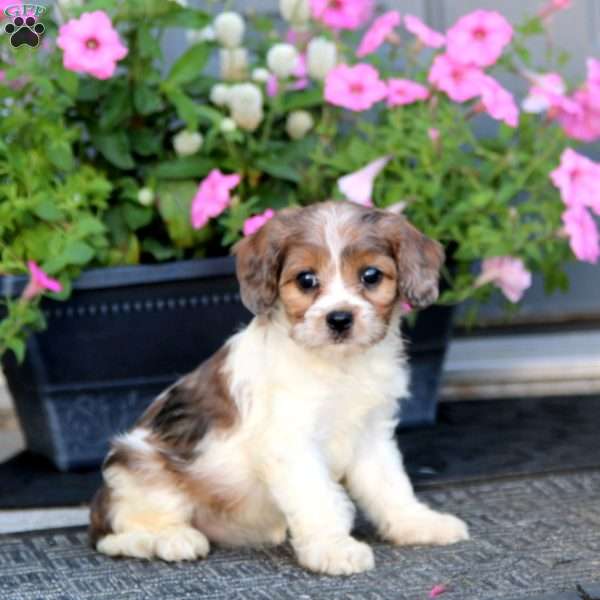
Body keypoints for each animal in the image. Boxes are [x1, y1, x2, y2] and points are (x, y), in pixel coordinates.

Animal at [90, 202, 468, 576]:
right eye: (306, 279)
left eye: (371, 276)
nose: (339, 319)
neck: (340, 365)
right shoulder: (291, 442)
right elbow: (318, 497)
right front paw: (333, 547)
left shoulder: (372, 436)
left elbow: (390, 486)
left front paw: (417, 523)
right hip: (142, 468)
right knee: (114, 535)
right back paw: (172, 538)